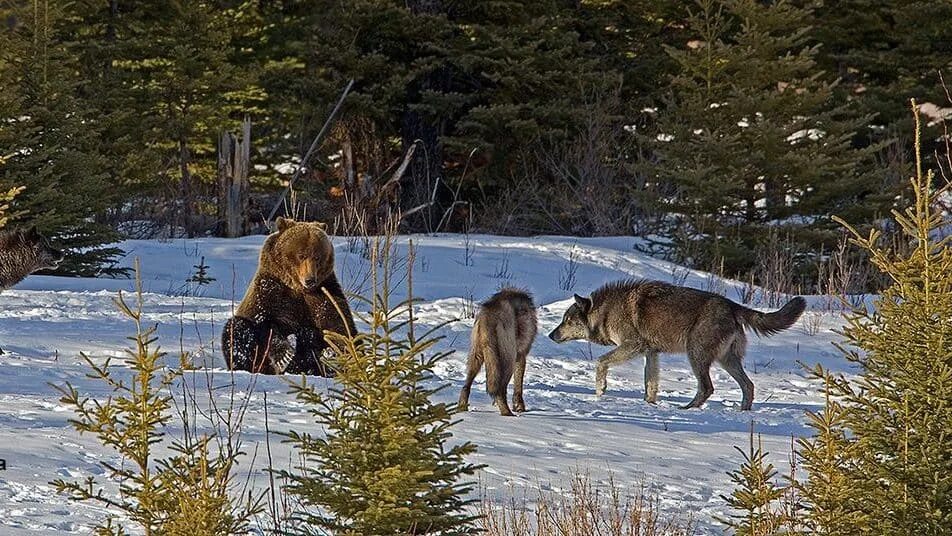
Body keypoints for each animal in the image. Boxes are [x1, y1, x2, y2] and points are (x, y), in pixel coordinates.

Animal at [221, 216, 356, 374]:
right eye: (301, 255)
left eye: (317, 256)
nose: (310, 279)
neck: (298, 288)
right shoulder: (270, 290)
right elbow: (263, 322)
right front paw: (284, 356)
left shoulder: (325, 294)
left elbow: (341, 327)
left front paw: (336, 353)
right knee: (236, 329)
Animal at [460, 286, 540, 416]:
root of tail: (490, 314)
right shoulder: (521, 355)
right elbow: (518, 386)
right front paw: (519, 407)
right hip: (508, 360)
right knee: (500, 390)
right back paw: (507, 413)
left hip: (477, 356)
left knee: (466, 386)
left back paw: (462, 408)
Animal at [548, 278, 808, 408]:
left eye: (566, 321)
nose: (551, 335)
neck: (606, 311)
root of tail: (732, 306)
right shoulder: (651, 353)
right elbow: (650, 384)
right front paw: (649, 405)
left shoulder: (634, 346)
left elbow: (601, 362)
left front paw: (600, 390)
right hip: (726, 361)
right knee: (749, 385)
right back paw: (743, 411)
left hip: (696, 355)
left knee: (708, 387)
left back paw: (687, 409)